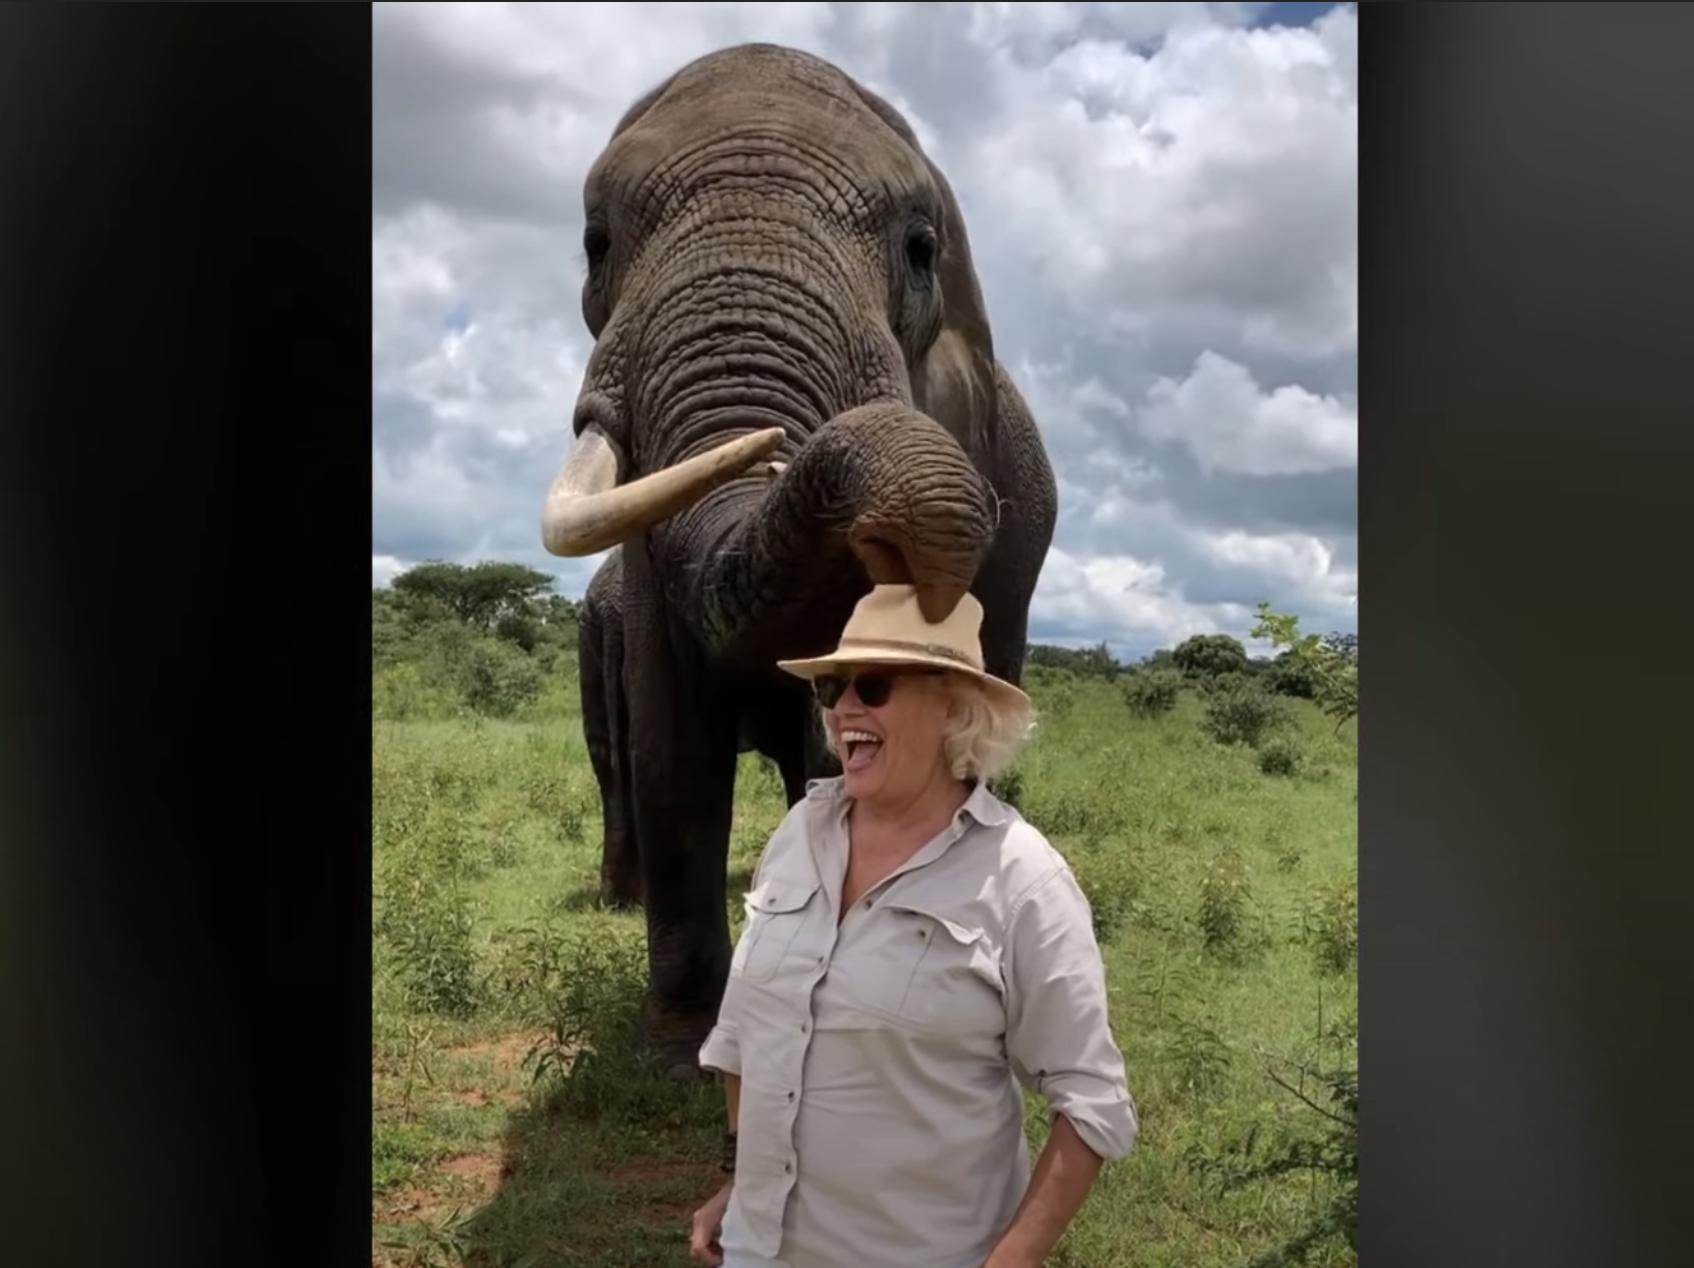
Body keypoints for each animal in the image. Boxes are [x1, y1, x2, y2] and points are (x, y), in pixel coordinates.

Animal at [541, 43, 1057, 1074]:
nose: (781, 446)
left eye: (920, 249)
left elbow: (837, 735)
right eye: (595, 243)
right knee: (617, 755)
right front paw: (678, 1050)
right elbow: (670, 746)